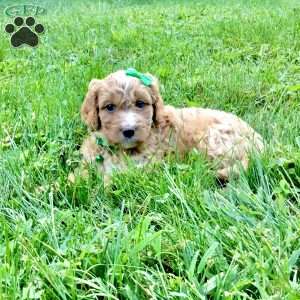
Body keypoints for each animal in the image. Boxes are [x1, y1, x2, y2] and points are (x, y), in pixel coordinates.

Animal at [79, 69, 262, 184]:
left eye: (140, 104)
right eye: (109, 107)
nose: (128, 131)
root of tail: (260, 144)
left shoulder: (149, 163)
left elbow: (120, 176)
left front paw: (103, 185)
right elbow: (81, 172)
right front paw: (75, 183)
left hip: (214, 139)